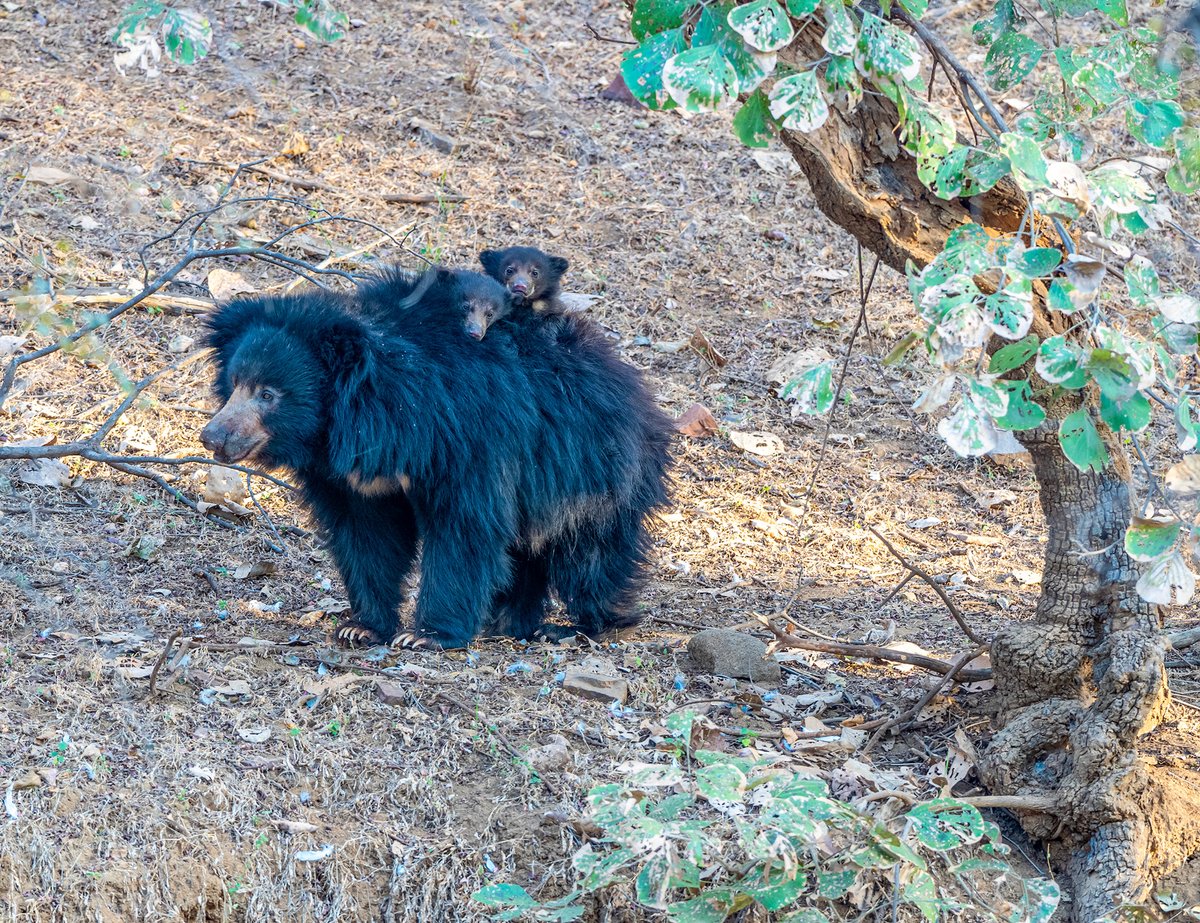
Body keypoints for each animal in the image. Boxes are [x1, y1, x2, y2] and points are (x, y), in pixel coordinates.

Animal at [200, 266, 673, 649]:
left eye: (269, 395)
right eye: (236, 383)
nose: (212, 436)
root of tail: (637, 390)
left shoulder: (467, 439)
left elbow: (465, 525)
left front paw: (426, 636)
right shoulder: (352, 477)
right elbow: (367, 535)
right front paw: (361, 627)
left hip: (591, 467)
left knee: (590, 552)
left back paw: (580, 627)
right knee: (528, 550)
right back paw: (508, 621)